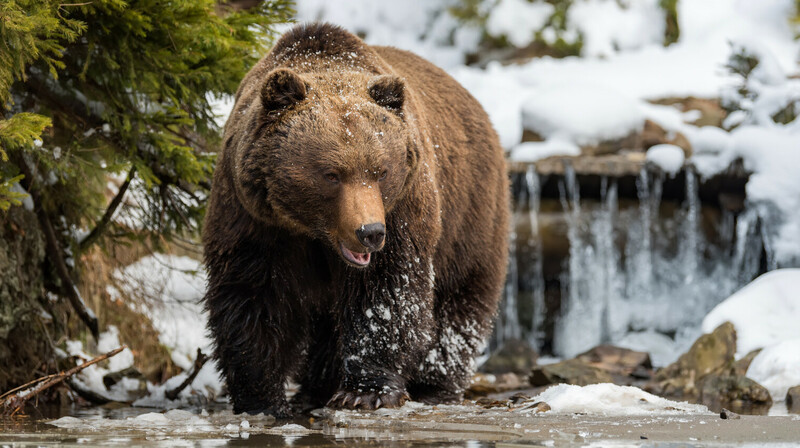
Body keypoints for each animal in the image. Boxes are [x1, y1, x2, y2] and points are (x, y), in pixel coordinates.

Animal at [203, 23, 510, 416]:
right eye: (331, 174)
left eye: (381, 171)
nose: (370, 232)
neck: (313, 232)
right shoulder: (253, 217)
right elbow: (254, 294)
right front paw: (262, 398)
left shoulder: (403, 210)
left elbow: (385, 294)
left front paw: (366, 391)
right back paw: (315, 387)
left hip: (470, 213)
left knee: (459, 299)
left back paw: (434, 385)